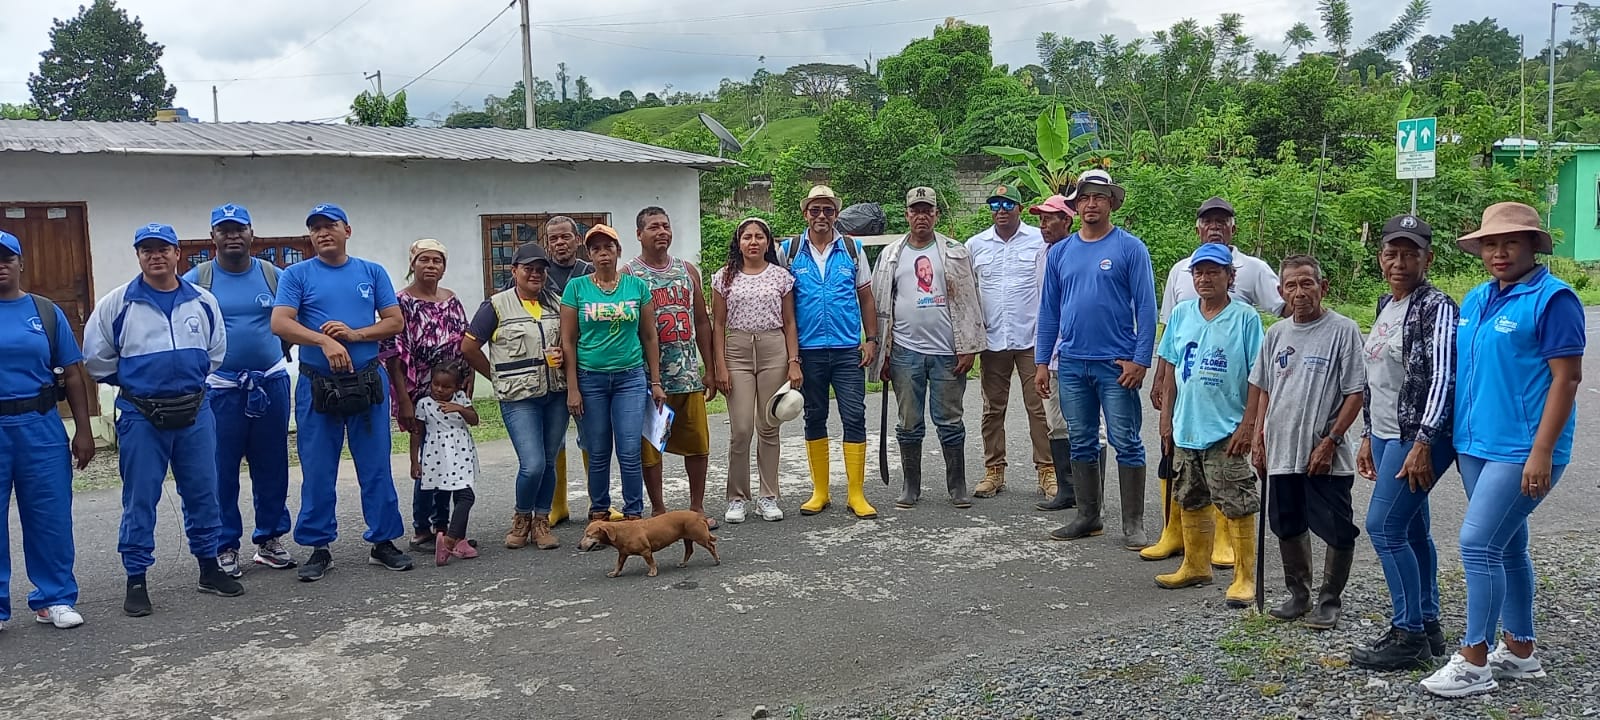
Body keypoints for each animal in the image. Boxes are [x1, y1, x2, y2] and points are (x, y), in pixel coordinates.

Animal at [577, 510, 721, 578]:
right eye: (585, 534)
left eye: (589, 535)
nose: (578, 546)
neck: (619, 530)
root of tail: (699, 515)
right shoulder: (623, 553)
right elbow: (618, 564)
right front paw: (615, 573)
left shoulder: (646, 551)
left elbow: (650, 562)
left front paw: (653, 572)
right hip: (687, 538)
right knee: (689, 551)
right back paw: (683, 563)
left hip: (700, 537)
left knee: (711, 546)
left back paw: (717, 560)